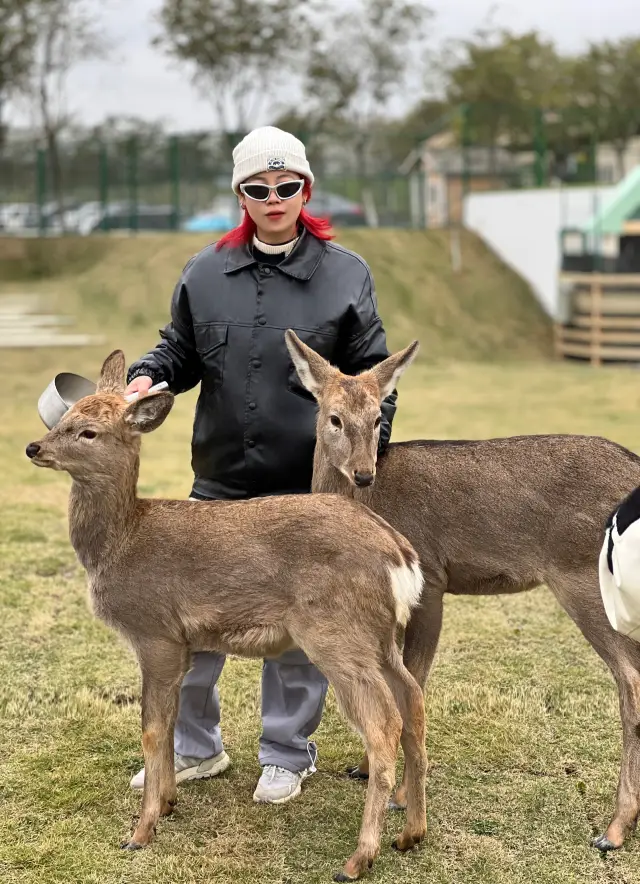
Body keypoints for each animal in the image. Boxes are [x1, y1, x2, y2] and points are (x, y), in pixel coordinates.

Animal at [25, 348, 428, 880]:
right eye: (64, 418)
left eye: (88, 432)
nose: (33, 447)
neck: (122, 544)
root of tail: (399, 553)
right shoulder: (183, 644)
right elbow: (171, 723)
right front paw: (168, 802)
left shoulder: (155, 631)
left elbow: (152, 730)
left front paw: (140, 832)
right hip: (379, 636)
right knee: (414, 700)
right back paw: (412, 833)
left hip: (337, 633)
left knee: (383, 725)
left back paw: (359, 857)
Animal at [284, 332, 640, 856]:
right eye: (334, 417)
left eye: (378, 418)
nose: (364, 472)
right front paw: (367, 769)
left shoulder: (431, 579)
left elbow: (415, 682)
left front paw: (401, 797)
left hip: (585, 578)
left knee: (629, 679)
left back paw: (614, 828)